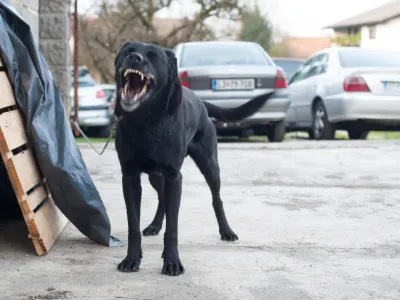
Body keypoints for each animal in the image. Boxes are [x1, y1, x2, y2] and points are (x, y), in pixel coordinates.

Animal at [112, 41, 276, 276]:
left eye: (153, 56)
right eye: (127, 50)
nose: (135, 58)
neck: (146, 122)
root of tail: (201, 102)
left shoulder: (174, 176)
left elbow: (172, 228)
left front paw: (172, 262)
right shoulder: (130, 177)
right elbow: (133, 225)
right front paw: (131, 259)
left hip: (210, 166)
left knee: (217, 198)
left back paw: (226, 231)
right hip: (155, 175)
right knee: (162, 198)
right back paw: (154, 226)